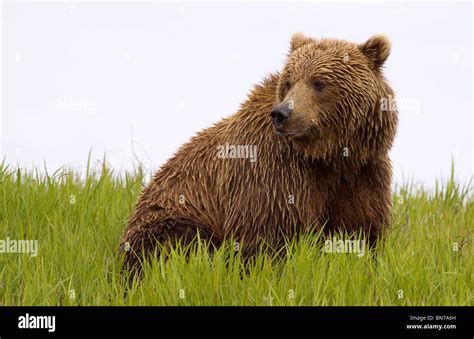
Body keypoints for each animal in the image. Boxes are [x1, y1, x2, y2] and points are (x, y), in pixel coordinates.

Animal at [118, 33, 396, 274]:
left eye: (319, 82)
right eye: (289, 81)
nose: (282, 113)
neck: (327, 156)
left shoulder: (363, 173)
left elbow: (361, 232)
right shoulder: (272, 171)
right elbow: (265, 237)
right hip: (171, 216)